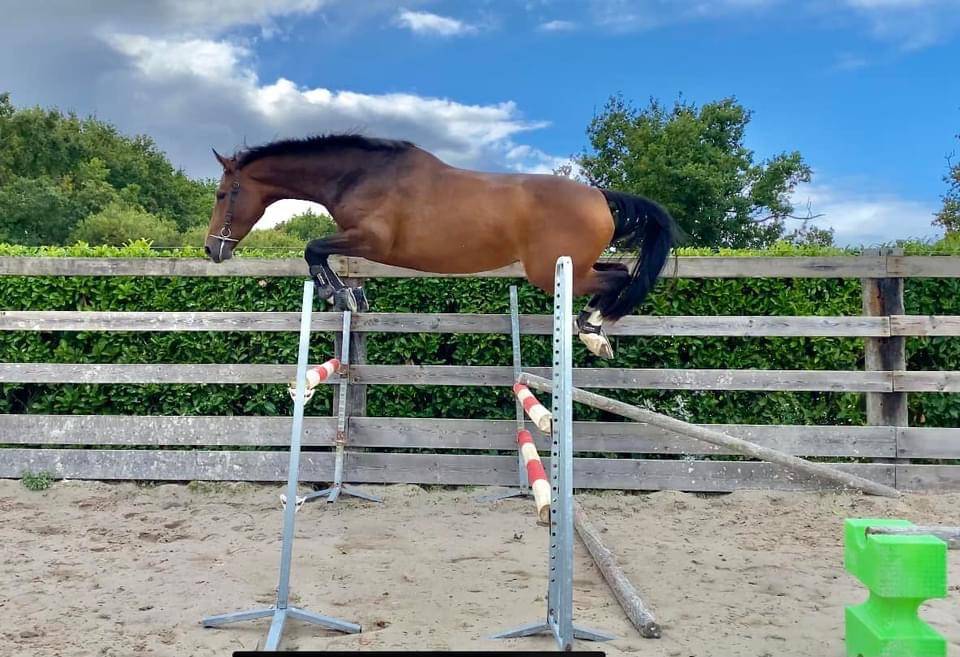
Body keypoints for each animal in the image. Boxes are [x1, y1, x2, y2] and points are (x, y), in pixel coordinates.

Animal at [205, 134, 678, 359]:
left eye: (224, 194)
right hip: (572, 266)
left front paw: (337, 294)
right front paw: (348, 295)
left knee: (615, 279)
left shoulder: (371, 240)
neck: (362, 175)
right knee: (618, 274)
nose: (213, 250)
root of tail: (600, 197)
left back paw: (592, 332)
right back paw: (594, 330)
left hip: (553, 271)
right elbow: (319, 252)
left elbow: (313, 248)